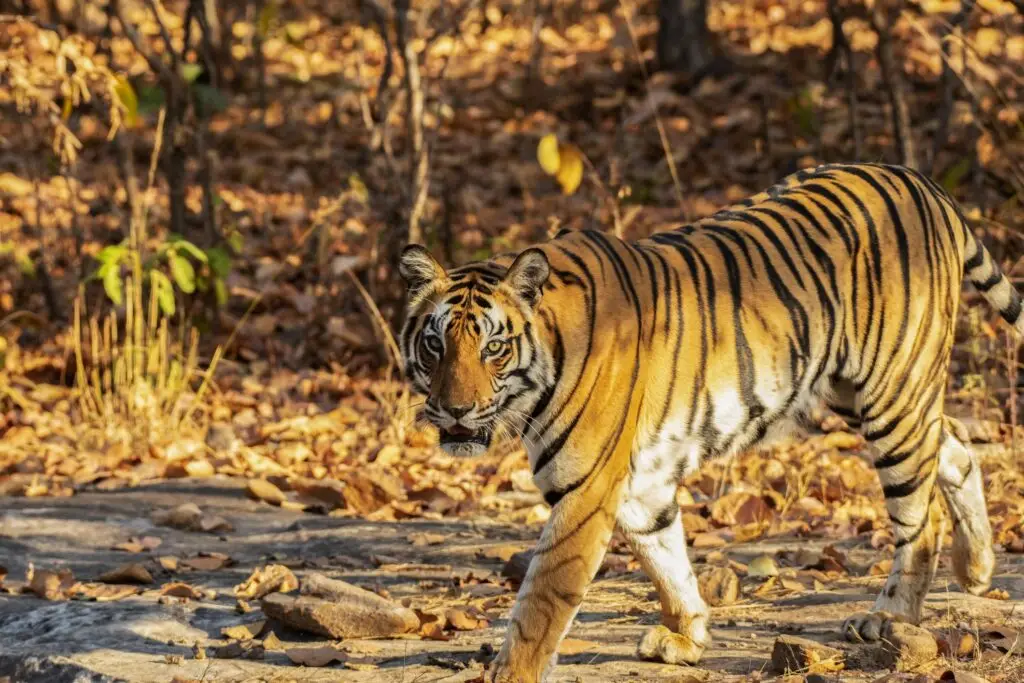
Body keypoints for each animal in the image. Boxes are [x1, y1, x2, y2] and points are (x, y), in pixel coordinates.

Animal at [398, 162, 1006, 683]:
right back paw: (976, 567)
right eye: (435, 344)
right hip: (858, 393)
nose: (454, 409)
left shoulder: (585, 491)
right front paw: (687, 636)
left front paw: (511, 673)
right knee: (954, 445)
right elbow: (664, 556)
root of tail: (919, 179)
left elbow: (542, 600)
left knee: (921, 516)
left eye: (494, 348)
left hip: (891, 394)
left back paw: (892, 618)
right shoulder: (639, 483)